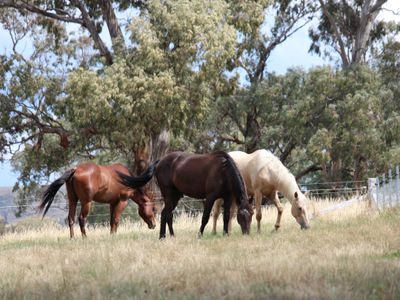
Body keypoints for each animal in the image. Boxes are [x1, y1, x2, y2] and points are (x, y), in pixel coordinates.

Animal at [118, 150, 253, 239]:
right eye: (241, 215)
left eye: (251, 214)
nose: (247, 233)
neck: (223, 170)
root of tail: (161, 161)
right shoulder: (210, 197)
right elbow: (205, 217)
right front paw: (200, 235)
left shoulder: (228, 197)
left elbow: (226, 217)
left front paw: (225, 234)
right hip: (169, 195)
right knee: (165, 214)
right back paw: (162, 237)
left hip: (176, 196)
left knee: (168, 214)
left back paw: (171, 236)